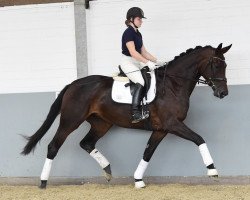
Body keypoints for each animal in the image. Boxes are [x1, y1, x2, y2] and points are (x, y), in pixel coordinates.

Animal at [21, 43, 232, 188]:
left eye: (225, 65)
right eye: (216, 65)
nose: (223, 93)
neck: (173, 85)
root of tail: (74, 84)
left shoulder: (162, 129)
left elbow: (148, 152)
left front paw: (138, 180)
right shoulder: (173, 124)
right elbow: (199, 139)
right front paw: (213, 171)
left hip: (101, 123)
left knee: (86, 143)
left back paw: (107, 170)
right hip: (70, 121)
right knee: (53, 146)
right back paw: (43, 182)